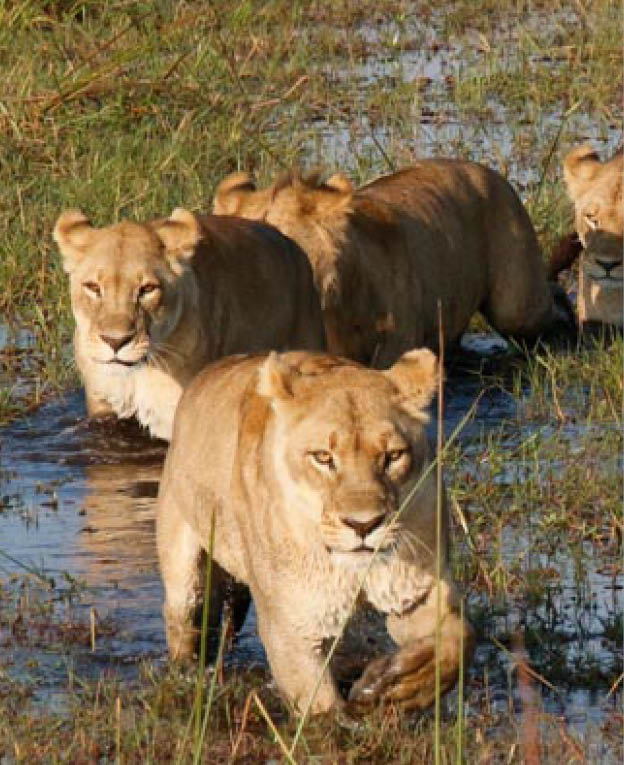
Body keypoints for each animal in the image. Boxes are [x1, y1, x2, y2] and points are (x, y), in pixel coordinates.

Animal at [54, 208, 326, 440]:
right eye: (93, 287)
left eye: (147, 289)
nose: (115, 341)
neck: (137, 372)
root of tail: (291, 243)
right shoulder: (103, 410)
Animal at [156, 348, 474, 714]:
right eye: (323, 457)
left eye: (393, 456)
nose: (363, 525)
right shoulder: (290, 624)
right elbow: (320, 711)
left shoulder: (415, 590)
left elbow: (458, 641)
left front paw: (397, 685)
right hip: (183, 564)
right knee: (184, 620)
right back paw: (187, 674)